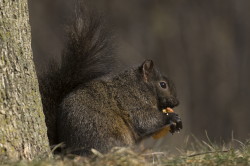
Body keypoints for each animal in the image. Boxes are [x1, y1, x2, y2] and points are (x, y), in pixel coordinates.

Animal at [37, 4, 182, 156]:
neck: (138, 86)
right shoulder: (131, 101)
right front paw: (171, 118)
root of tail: (65, 150)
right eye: (163, 84)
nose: (176, 102)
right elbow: (144, 120)